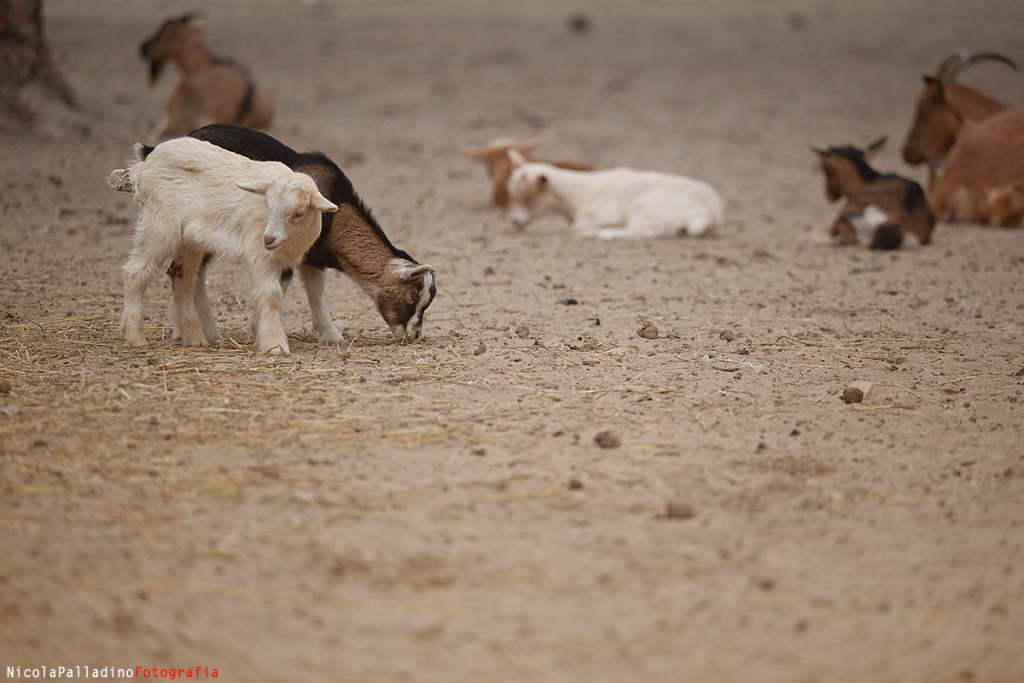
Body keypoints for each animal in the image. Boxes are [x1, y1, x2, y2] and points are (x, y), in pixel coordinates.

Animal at [110, 137, 337, 356]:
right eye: (267, 205)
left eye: (298, 213)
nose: (269, 239)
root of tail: (143, 168)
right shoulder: (259, 252)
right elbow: (272, 294)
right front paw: (275, 344)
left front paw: (261, 337)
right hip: (159, 226)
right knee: (135, 273)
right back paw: (135, 337)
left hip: (189, 240)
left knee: (181, 278)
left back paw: (194, 338)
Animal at [190, 123, 438, 342]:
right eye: (414, 296)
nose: (415, 335)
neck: (335, 212)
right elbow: (296, 287)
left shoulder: (312, 258)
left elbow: (311, 290)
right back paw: (208, 334)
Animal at [503, 150, 720, 240]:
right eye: (511, 197)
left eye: (528, 198)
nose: (515, 223)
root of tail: (712, 214)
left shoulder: (603, 215)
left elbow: (578, 227)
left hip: (644, 207)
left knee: (641, 232)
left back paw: (603, 234)